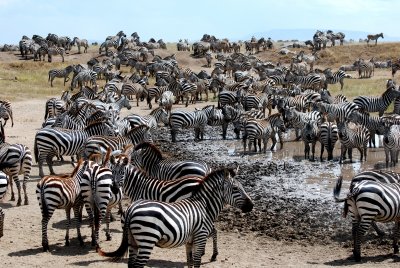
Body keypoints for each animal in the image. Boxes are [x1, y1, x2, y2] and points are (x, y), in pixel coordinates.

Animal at [97, 168, 253, 266]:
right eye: (235, 189)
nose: (251, 206)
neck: (204, 205)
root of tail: (131, 209)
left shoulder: (190, 241)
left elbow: (190, 262)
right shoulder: (200, 236)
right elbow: (197, 262)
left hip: (132, 240)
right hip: (147, 239)